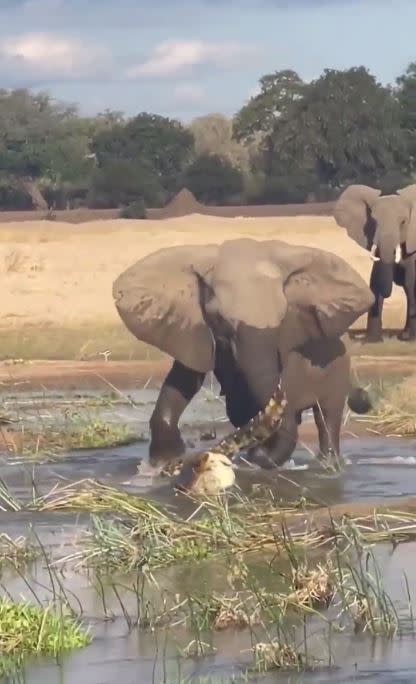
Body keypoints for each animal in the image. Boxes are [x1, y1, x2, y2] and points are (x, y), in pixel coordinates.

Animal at [112, 238, 376, 478]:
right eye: (220, 319)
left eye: (284, 318)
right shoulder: (192, 327)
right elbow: (185, 378)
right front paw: (161, 464)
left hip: (338, 370)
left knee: (327, 417)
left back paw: (328, 465)